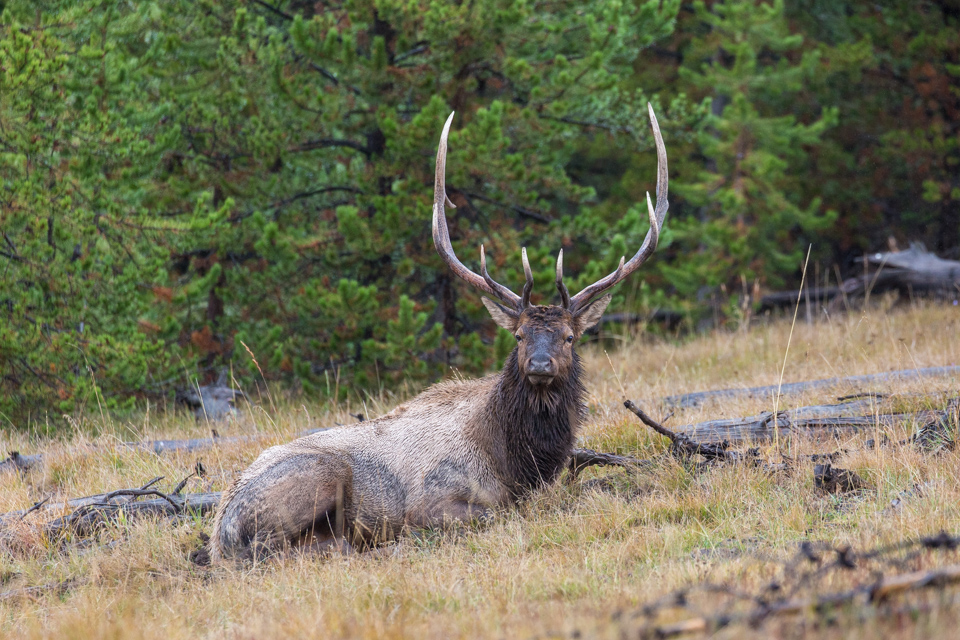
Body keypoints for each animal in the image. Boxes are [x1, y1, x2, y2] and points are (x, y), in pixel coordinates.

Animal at [209, 104, 668, 561]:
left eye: (569, 337)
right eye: (518, 336)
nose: (540, 364)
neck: (514, 461)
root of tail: (220, 531)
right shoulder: (433, 500)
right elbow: (493, 515)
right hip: (319, 475)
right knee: (278, 548)